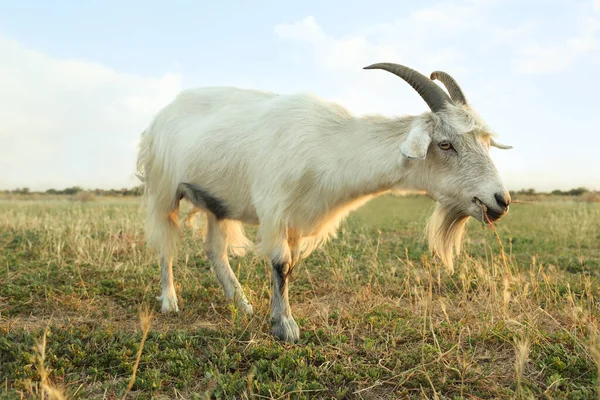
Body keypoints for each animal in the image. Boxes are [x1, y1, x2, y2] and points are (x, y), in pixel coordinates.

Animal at [135, 64, 510, 342]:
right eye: (446, 144)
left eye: (486, 142)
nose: (500, 201)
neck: (330, 143)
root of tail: (161, 116)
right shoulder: (275, 207)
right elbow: (280, 264)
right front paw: (285, 327)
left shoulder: (299, 220)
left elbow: (290, 266)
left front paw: (276, 317)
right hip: (164, 189)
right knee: (166, 243)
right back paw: (170, 301)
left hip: (217, 201)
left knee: (215, 250)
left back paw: (240, 303)